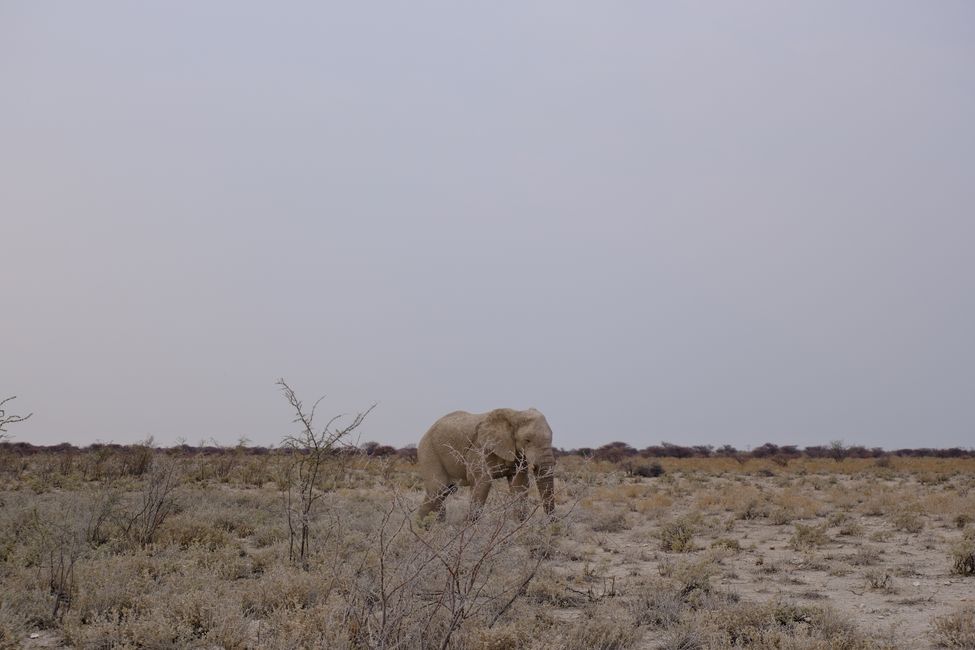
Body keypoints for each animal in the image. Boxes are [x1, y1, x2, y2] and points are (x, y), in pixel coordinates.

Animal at [416, 404, 556, 520]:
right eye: (527, 440)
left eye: (552, 438)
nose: (552, 522)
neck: (515, 414)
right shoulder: (480, 447)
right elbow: (483, 482)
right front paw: (468, 526)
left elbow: (519, 484)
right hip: (428, 452)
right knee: (437, 491)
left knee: (441, 493)